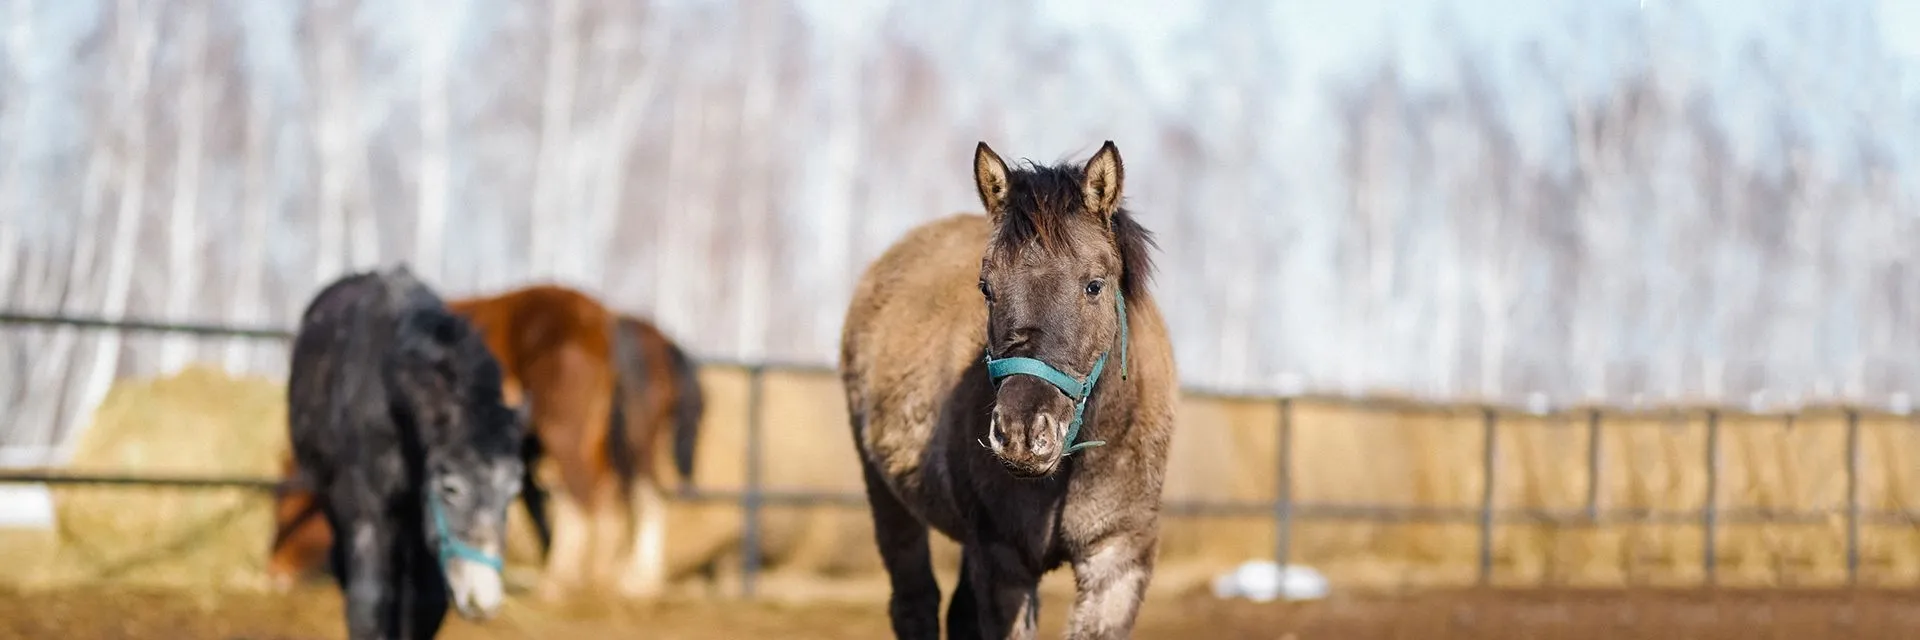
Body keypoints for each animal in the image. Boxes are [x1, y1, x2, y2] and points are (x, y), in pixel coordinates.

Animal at [272, 284, 714, 599]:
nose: (276, 570)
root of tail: (605, 321)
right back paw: (626, 580)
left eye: (286, 506)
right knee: (637, 495)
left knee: (590, 495)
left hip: (574, 435)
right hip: (626, 443)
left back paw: (570, 581)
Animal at [286, 265, 526, 638]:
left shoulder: (420, 527)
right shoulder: (368, 515)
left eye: (513, 491)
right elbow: (368, 604)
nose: (482, 599)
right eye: (451, 487)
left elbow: (423, 606)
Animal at [844, 141, 1175, 638]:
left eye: (1094, 286)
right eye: (986, 288)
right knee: (915, 602)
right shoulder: (1003, 562)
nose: (1021, 433)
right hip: (887, 497)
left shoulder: (1117, 560)